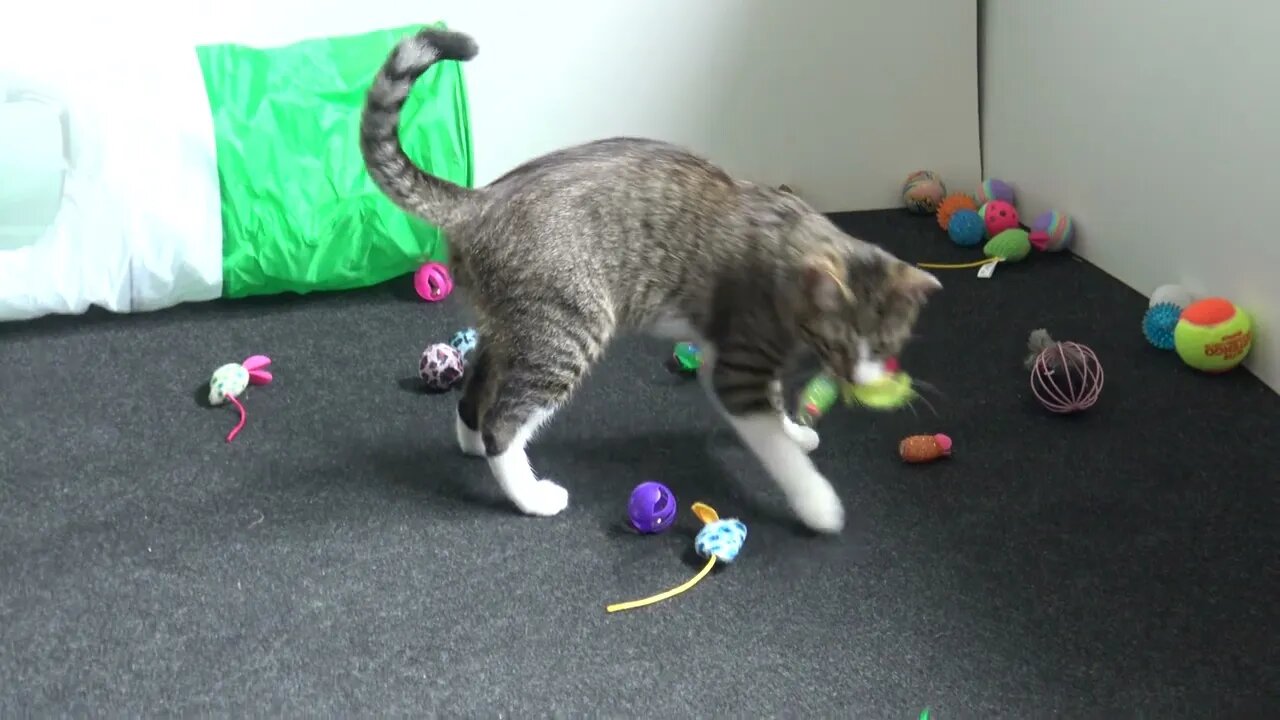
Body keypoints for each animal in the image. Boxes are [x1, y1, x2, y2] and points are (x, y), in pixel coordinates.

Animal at [360, 26, 942, 532]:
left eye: (886, 346)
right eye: (841, 345)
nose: (865, 383)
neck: (799, 246)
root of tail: (478, 202)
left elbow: (777, 404)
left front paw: (795, 429)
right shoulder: (735, 365)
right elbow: (773, 445)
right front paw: (817, 501)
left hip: (513, 325)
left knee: (477, 390)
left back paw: (472, 438)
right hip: (564, 330)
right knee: (504, 419)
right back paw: (529, 493)